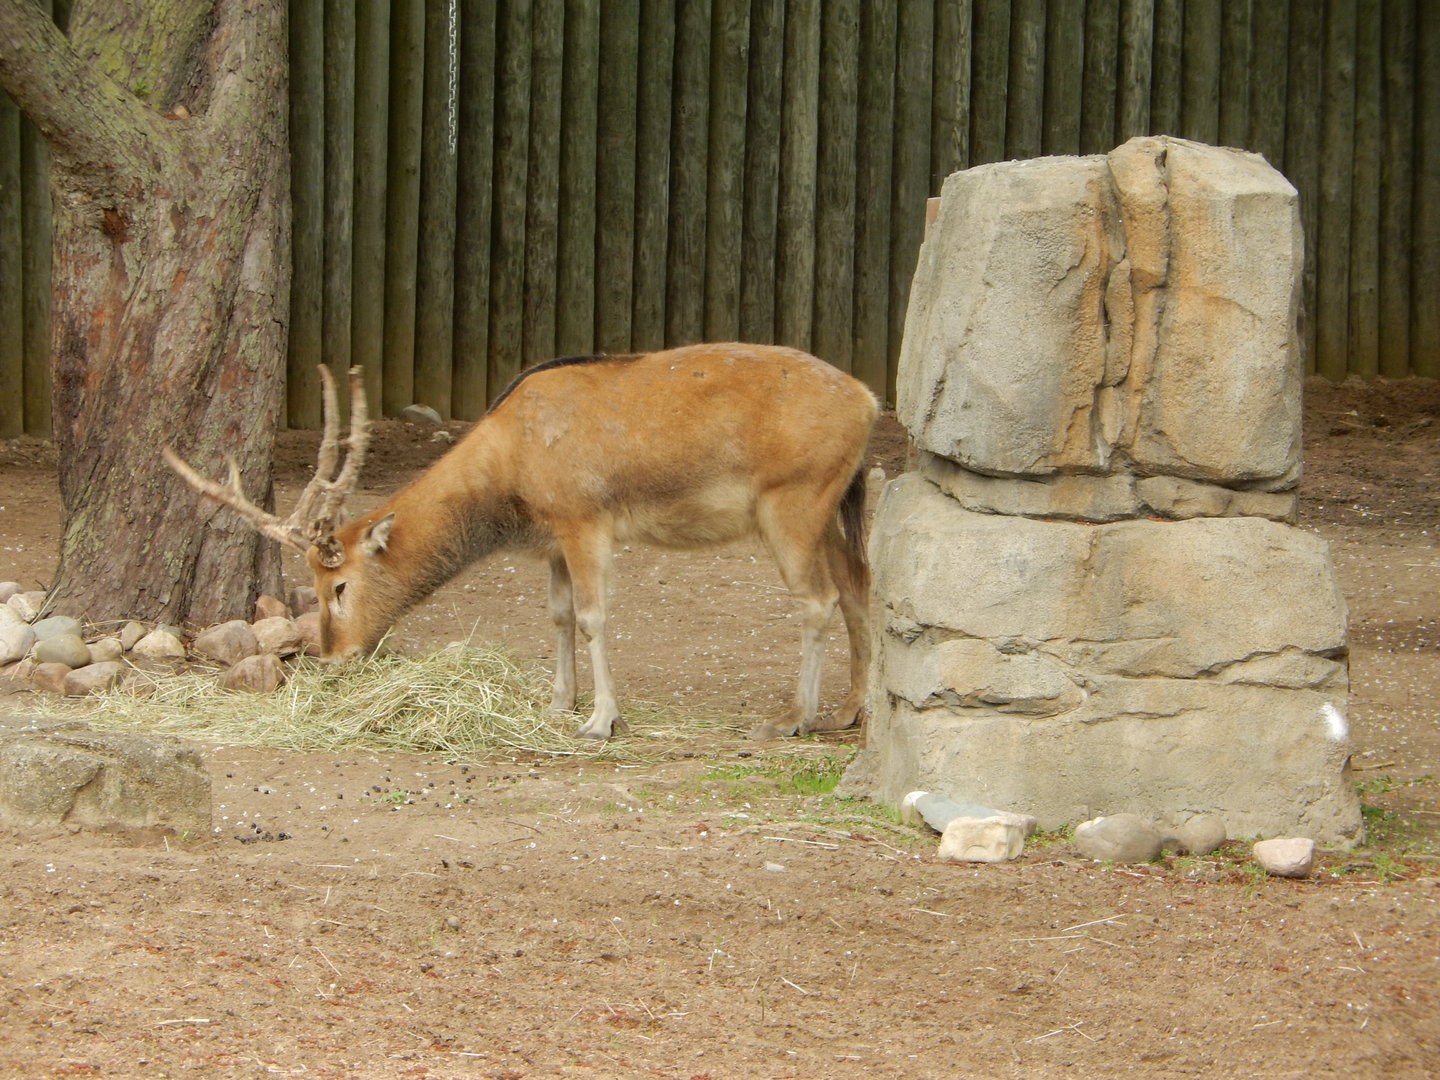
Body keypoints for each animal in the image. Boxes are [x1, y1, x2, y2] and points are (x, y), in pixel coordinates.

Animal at [164, 343, 877, 740]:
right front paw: (559, 703)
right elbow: (557, 615)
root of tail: (868, 399)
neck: (510, 470)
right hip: (833, 505)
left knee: (817, 600)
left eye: (337, 584)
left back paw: (794, 716)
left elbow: (593, 616)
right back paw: (848, 711)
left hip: (792, 502)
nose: (333, 656)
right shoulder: (554, 539)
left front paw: (601, 720)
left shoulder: (584, 519)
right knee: (858, 589)